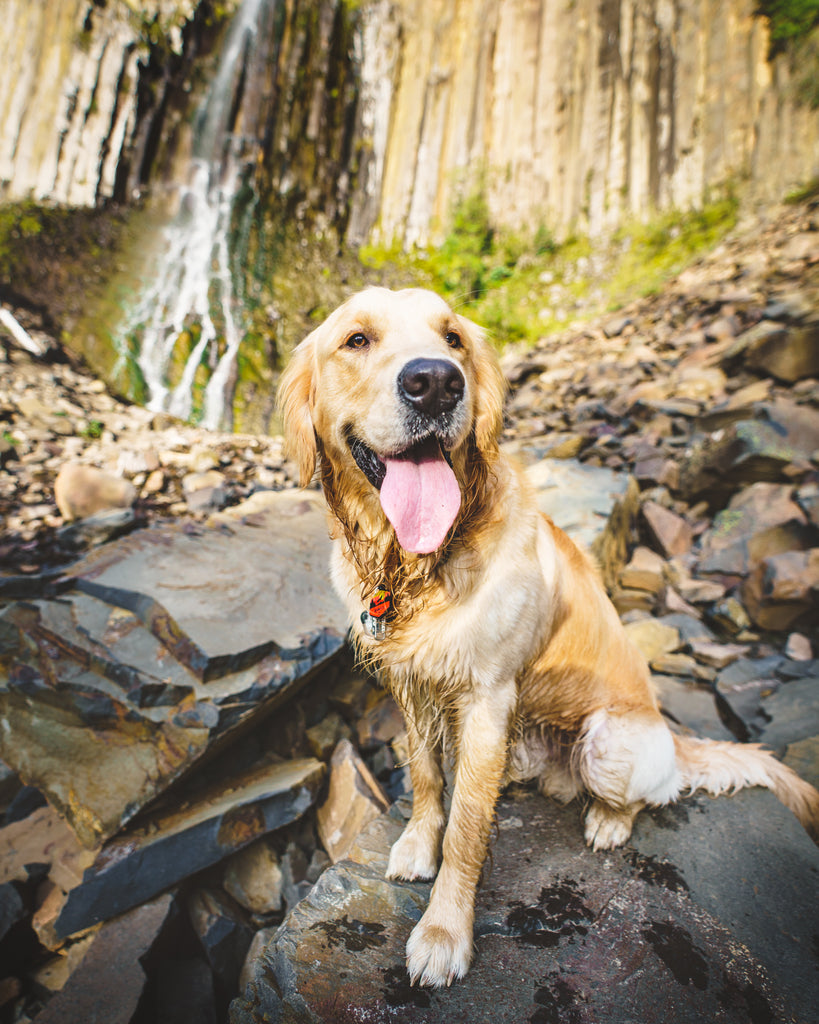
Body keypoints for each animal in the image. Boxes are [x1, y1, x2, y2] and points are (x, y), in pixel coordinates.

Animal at [278, 284, 818, 987]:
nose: (436, 384)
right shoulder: (409, 684)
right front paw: (417, 844)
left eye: (452, 338)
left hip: (608, 743)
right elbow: (424, 774)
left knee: (654, 791)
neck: (415, 564)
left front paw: (444, 932)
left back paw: (609, 822)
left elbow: (468, 827)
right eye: (357, 340)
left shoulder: (488, 697)